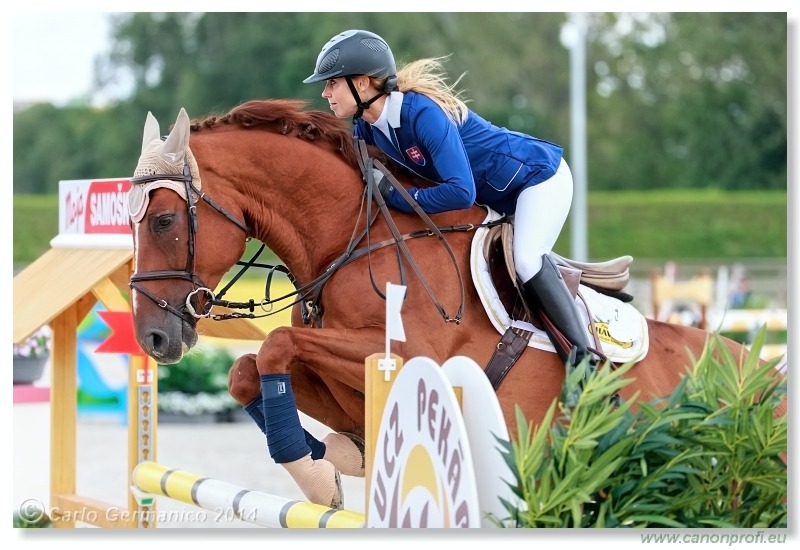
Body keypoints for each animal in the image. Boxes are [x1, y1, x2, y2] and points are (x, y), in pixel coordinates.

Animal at [130, 100, 776, 512]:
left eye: (163, 221)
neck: (354, 241)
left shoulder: (406, 352)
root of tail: (757, 370)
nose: (154, 339)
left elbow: (274, 347)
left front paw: (315, 474)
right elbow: (248, 369)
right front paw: (335, 457)